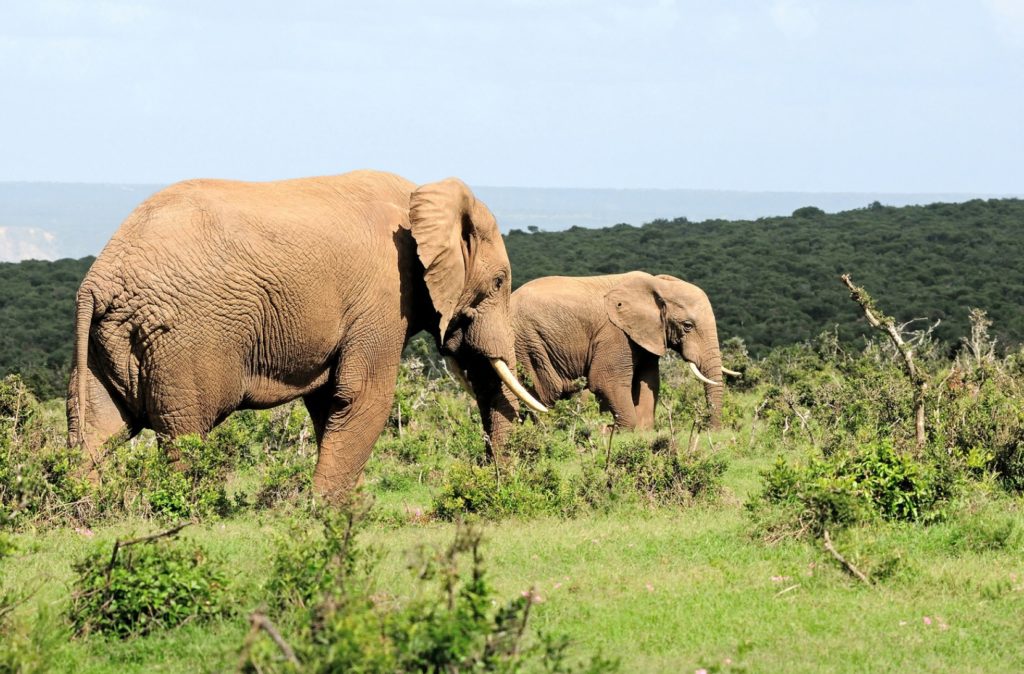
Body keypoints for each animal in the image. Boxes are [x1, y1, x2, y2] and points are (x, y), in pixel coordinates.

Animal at [66, 171, 544, 495]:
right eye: (499, 282)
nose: (493, 480)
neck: (420, 197)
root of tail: (99, 278)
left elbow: (329, 399)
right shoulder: (384, 294)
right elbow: (364, 396)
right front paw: (328, 511)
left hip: (107, 339)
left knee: (97, 431)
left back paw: (84, 512)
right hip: (182, 339)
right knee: (184, 433)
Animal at [507, 272, 724, 436]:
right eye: (687, 326)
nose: (707, 429)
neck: (657, 283)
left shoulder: (645, 335)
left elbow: (649, 380)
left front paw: (641, 431)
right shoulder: (615, 334)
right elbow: (607, 381)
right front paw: (611, 430)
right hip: (528, 343)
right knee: (543, 392)